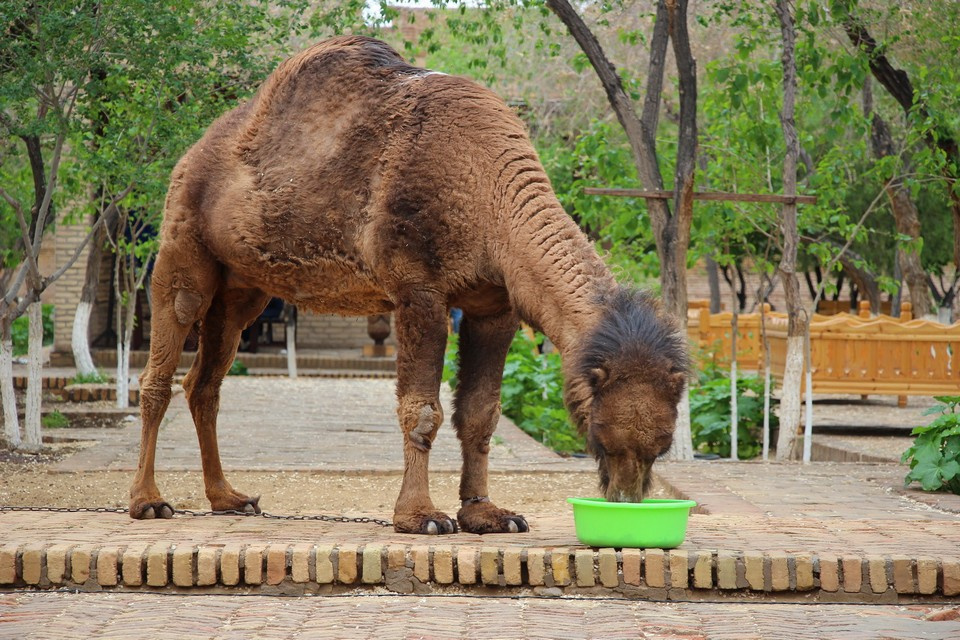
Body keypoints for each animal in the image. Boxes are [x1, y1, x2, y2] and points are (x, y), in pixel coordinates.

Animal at [133, 36, 688, 536]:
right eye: (601, 438)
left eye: (662, 446)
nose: (626, 500)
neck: (489, 189)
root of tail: (191, 152)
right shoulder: (418, 291)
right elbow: (422, 410)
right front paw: (420, 516)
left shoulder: (495, 307)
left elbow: (481, 414)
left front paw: (486, 514)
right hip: (182, 246)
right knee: (161, 366)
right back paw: (148, 501)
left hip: (243, 288)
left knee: (204, 382)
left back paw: (227, 498)